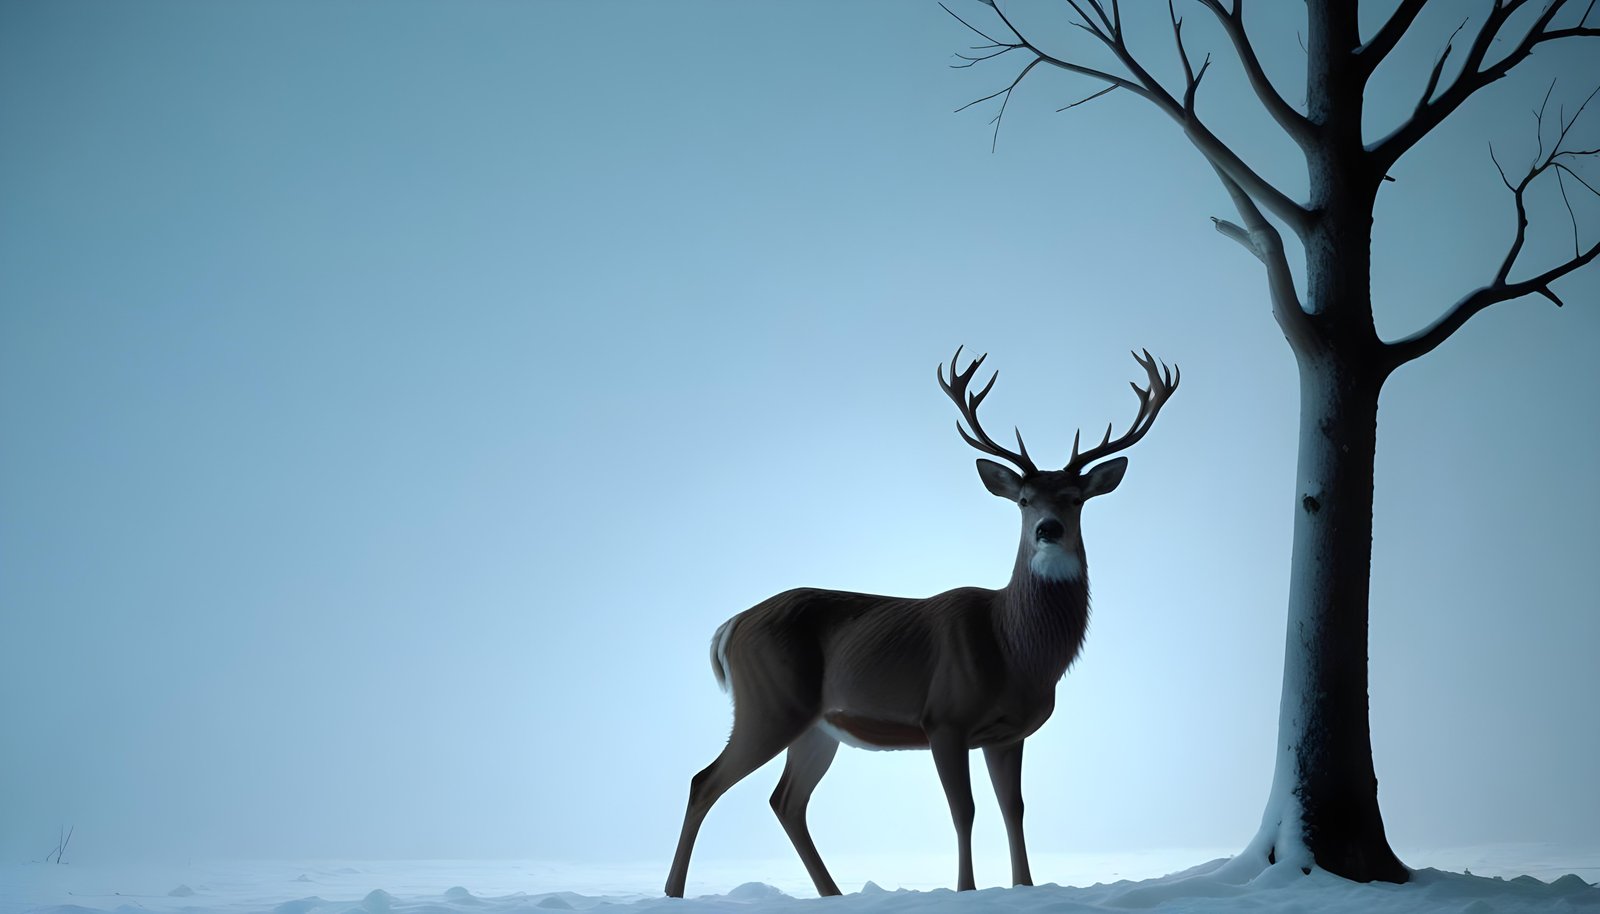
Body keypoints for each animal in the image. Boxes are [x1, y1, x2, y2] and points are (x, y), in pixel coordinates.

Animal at [663, 348, 1179, 898]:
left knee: (786, 800)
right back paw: (673, 891)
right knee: (705, 781)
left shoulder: (1006, 734)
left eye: (1076, 498)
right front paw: (966, 891)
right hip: (770, 703)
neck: (1014, 650)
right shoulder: (944, 717)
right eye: (1023, 500)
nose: (1048, 529)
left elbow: (1014, 809)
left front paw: (1024, 887)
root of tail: (733, 624)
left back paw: (833, 893)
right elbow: (964, 810)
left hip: (817, 725)